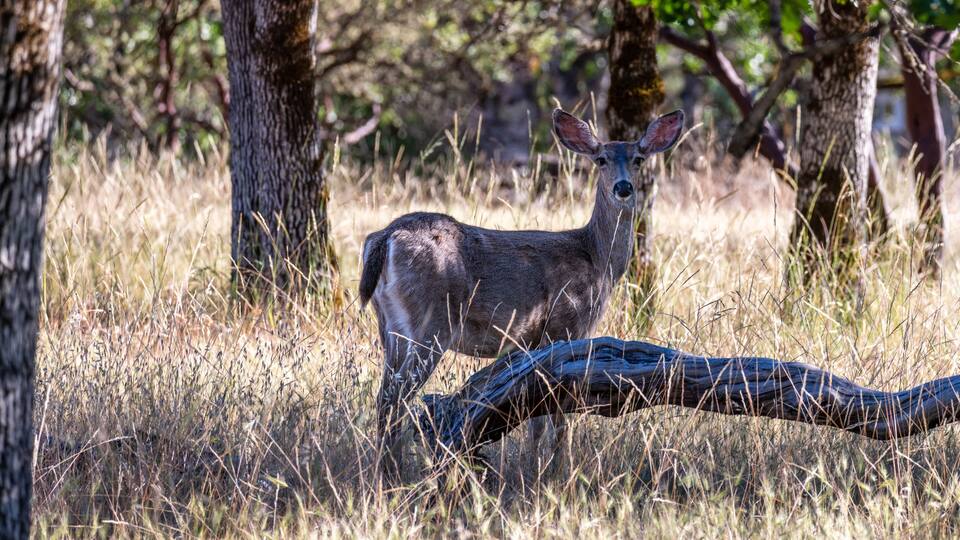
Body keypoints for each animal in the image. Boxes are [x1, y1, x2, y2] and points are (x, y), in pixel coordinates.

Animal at [359, 107, 684, 479]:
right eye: (601, 159)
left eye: (639, 159)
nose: (624, 187)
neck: (596, 257)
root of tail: (386, 236)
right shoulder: (565, 325)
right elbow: (557, 417)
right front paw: (554, 470)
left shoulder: (533, 343)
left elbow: (537, 421)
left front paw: (535, 465)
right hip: (431, 323)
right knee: (396, 397)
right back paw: (394, 473)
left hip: (390, 325)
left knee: (385, 396)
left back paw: (388, 470)